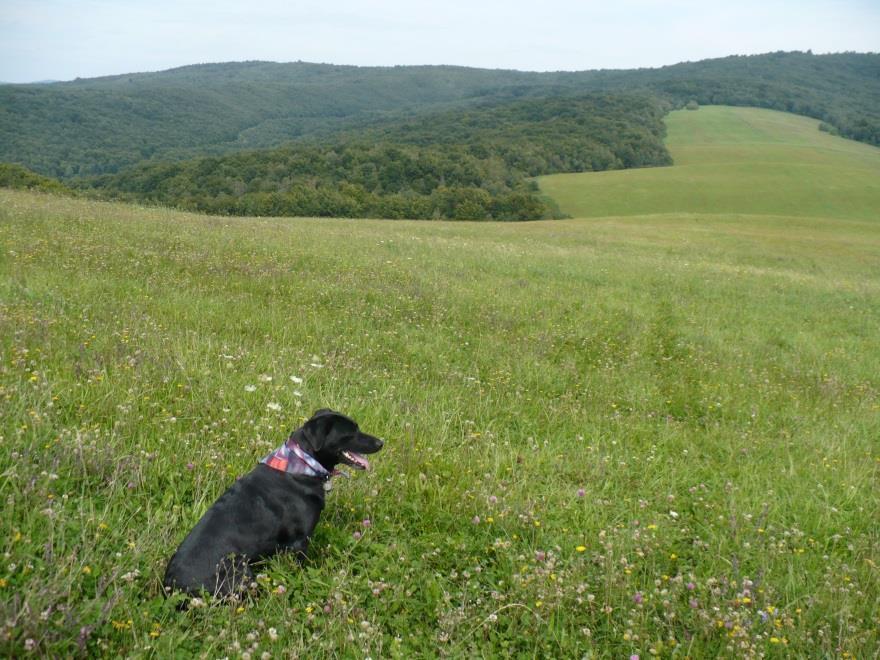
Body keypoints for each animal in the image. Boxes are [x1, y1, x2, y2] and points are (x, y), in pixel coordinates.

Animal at [164, 408, 382, 600]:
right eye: (350, 433)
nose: (381, 442)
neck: (303, 463)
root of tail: (172, 588)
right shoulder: (299, 541)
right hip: (242, 573)